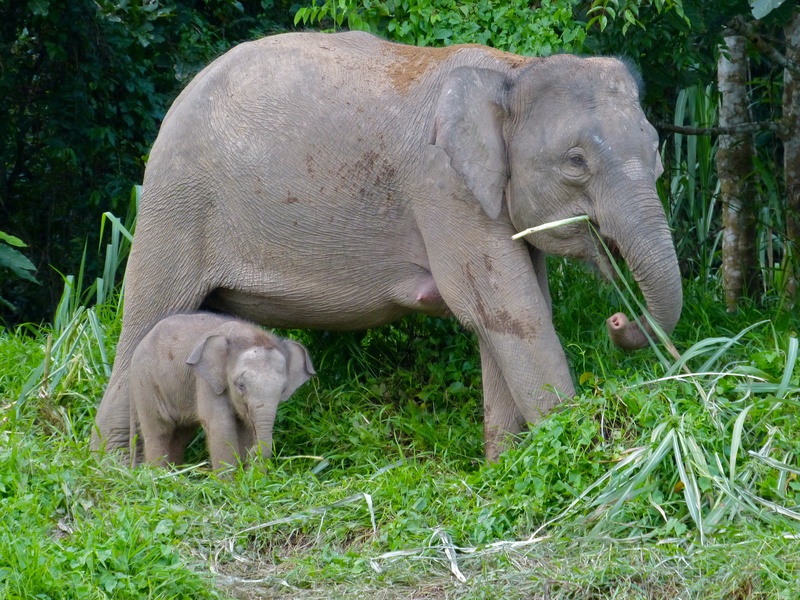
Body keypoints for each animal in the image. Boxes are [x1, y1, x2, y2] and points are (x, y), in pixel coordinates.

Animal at [128, 312, 312, 472]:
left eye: (283, 389)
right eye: (240, 385)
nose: (252, 453)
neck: (247, 334)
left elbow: (245, 428)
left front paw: (252, 479)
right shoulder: (205, 380)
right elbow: (220, 424)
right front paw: (229, 484)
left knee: (182, 434)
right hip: (144, 382)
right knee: (159, 430)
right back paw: (159, 476)